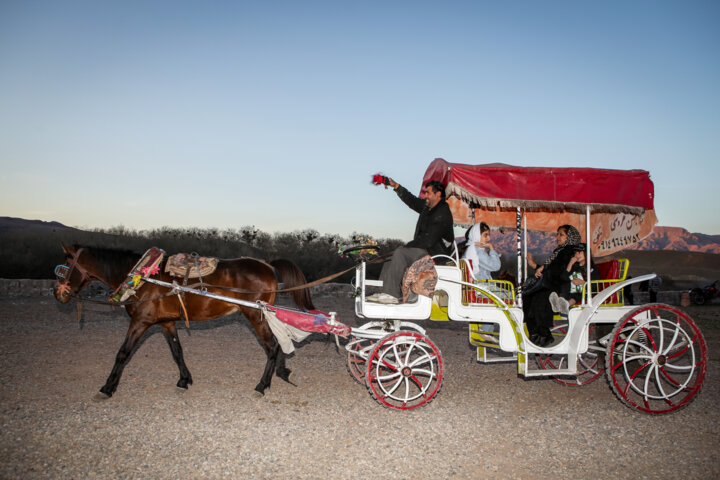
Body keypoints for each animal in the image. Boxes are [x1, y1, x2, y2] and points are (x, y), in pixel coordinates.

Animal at [54, 244, 314, 398]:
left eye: (65, 265)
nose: (58, 293)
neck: (142, 278)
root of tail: (267, 264)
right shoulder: (166, 323)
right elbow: (177, 352)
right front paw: (184, 379)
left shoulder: (140, 322)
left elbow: (123, 353)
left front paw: (108, 387)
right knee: (278, 343)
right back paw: (282, 372)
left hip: (255, 314)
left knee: (272, 346)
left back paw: (262, 385)